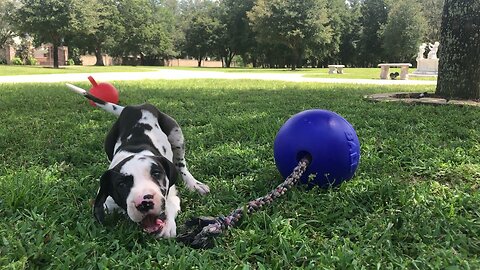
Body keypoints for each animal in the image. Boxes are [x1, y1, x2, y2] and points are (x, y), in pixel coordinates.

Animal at [66, 83, 209, 237]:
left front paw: (167, 226)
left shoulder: (171, 195)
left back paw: (194, 184)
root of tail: (132, 107)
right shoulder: (108, 202)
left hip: (175, 132)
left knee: (181, 165)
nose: (145, 202)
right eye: (121, 184)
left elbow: (171, 204)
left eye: (156, 174)